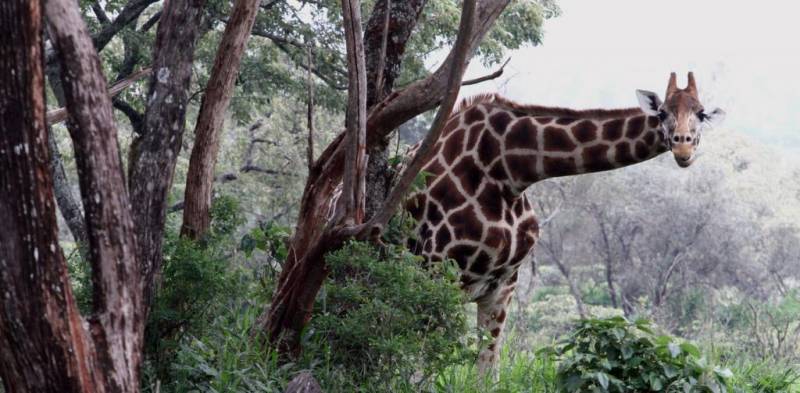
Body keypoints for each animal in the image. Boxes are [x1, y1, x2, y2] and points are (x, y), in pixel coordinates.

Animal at [396, 71, 728, 370]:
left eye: (701, 114)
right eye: (662, 113)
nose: (683, 147)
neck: (508, 169)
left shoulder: (502, 285)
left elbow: (486, 371)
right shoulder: (435, 269)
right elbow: (418, 370)